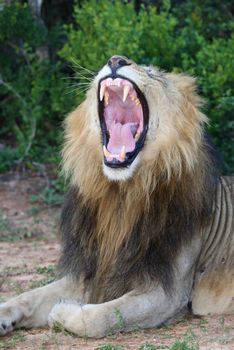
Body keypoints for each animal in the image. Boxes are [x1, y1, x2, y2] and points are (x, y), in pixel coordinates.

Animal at [0, 56, 233, 338]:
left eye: (152, 73)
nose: (116, 60)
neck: (121, 195)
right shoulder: (94, 268)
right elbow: (31, 295)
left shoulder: (169, 292)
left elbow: (103, 316)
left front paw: (62, 312)